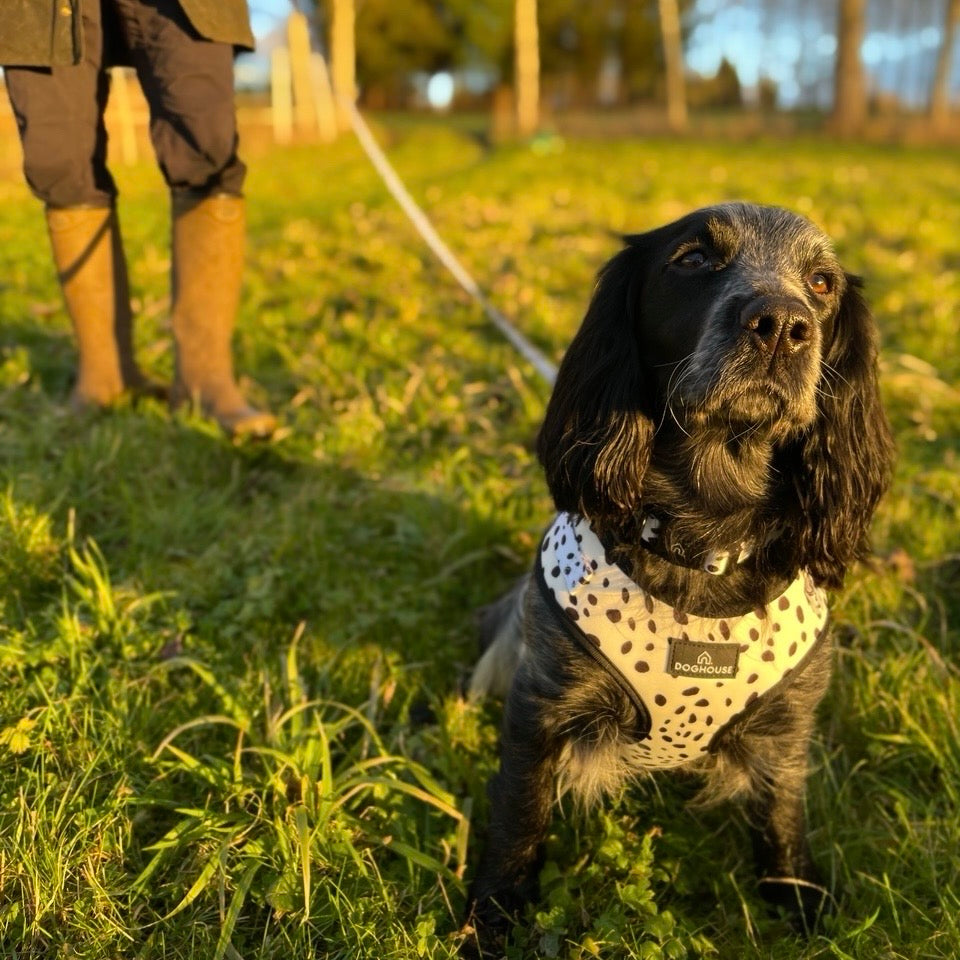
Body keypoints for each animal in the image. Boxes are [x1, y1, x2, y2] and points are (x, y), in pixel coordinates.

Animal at [464, 202, 894, 953]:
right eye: (693, 258)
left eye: (821, 282)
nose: (782, 324)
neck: (704, 540)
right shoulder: (540, 703)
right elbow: (519, 819)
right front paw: (493, 917)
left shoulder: (788, 729)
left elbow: (783, 821)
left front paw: (802, 907)